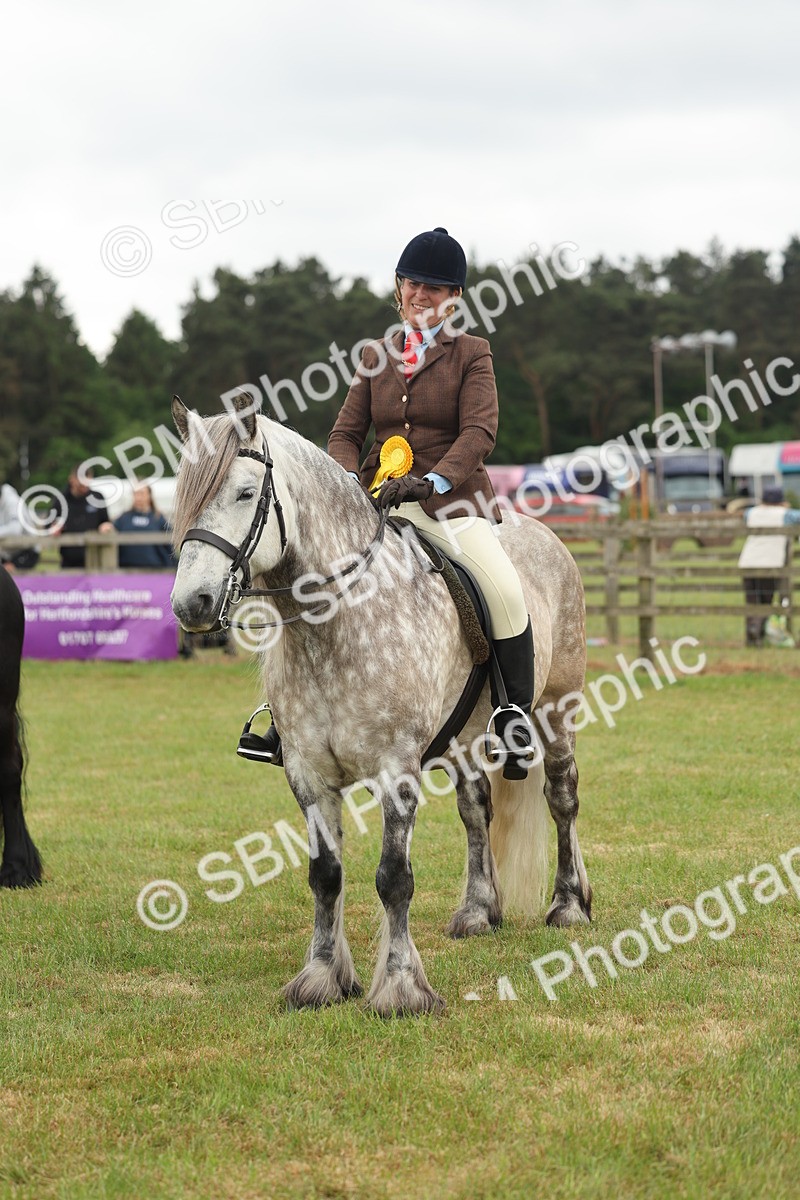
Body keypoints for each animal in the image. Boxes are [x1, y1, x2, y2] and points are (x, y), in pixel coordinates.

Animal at [169, 394, 592, 1015]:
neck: (334, 627)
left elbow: (394, 878)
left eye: (246, 493)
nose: (192, 604)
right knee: (476, 810)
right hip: (466, 738)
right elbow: (325, 874)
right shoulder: (308, 773)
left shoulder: (396, 770)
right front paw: (320, 980)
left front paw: (401, 990)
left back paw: (569, 905)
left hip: (557, 710)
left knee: (561, 798)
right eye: (182, 495)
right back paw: (477, 911)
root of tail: (542, 532)